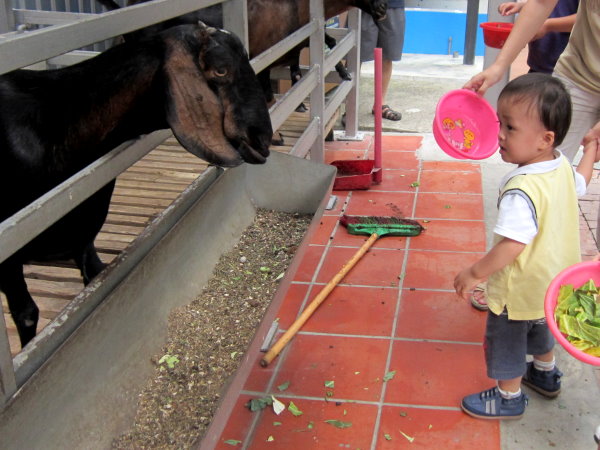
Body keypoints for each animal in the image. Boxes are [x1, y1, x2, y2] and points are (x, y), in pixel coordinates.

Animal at [0, 22, 272, 348]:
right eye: (220, 70)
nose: (262, 138)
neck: (59, 123)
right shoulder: (6, 263)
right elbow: (27, 314)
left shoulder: (84, 237)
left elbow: (95, 276)